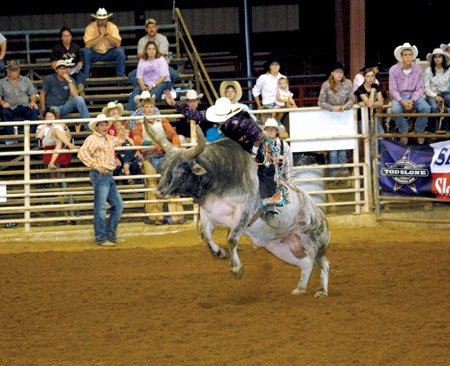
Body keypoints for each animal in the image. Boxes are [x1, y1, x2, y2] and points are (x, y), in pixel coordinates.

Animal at [145, 123, 330, 298]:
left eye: (179, 170)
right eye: (162, 168)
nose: (159, 192)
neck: (219, 178)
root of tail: (318, 213)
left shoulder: (244, 213)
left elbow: (232, 239)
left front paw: (236, 269)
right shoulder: (208, 215)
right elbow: (206, 235)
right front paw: (220, 252)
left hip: (314, 241)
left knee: (323, 263)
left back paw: (322, 291)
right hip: (281, 247)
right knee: (306, 263)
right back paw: (300, 289)